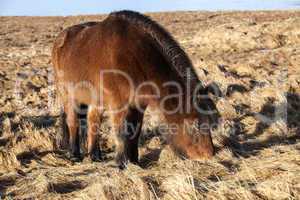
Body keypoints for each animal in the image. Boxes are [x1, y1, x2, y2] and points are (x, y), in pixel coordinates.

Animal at [52, 9, 220, 169]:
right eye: (195, 125)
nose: (209, 155)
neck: (135, 56)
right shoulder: (119, 105)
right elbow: (122, 132)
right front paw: (122, 163)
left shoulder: (138, 105)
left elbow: (135, 131)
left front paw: (134, 161)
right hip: (68, 95)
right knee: (72, 121)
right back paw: (74, 154)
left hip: (95, 100)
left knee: (93, 121)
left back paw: (95, 155)